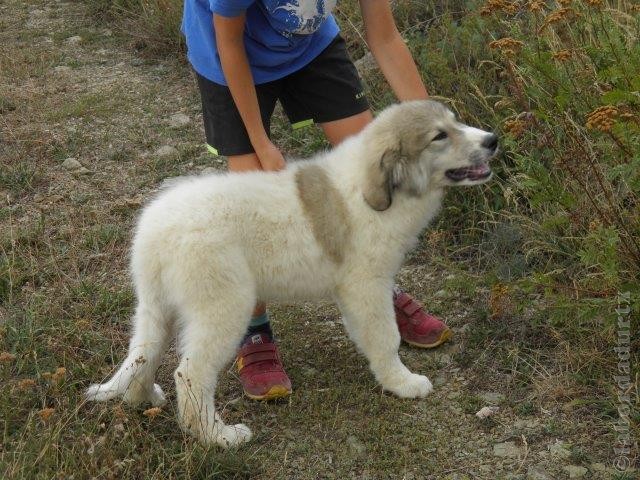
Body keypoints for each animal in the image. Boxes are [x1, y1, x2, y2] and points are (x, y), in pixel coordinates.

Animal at [86, 100, 496, 446]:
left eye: (456, 121)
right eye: (439, 136)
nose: (492, 140)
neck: (377, 191)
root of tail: (157, 228)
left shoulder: (356, 290)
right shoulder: (368, 285)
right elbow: (385, 337)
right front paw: (402, 382)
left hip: (155, 305)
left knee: (143, 354)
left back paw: (142, 398)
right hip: (224, 307)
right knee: (190, 374)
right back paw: (218, 436)